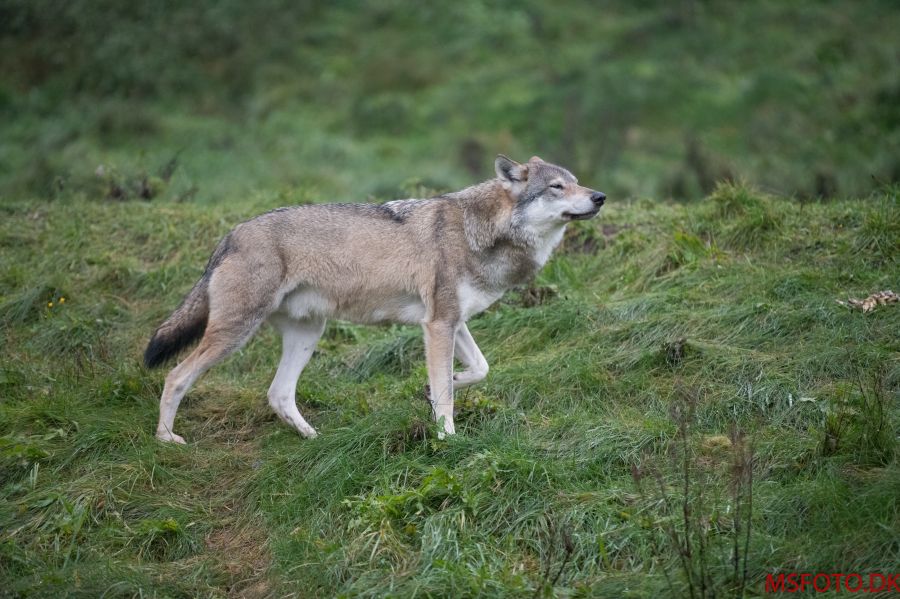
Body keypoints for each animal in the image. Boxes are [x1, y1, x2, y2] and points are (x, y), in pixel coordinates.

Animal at [144, 157, 604, 442]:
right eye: (557, 187)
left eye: (577, 181)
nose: (599, 197)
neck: (484, 233)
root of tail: (230, 235)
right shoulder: (438, 324)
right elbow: (448, 396)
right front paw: (447, 438)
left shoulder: (450, 323)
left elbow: (478, 370)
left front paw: (435, 388)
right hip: (234, 335)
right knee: (175, 376)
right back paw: (166, 438)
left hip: (308, 333)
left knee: (278, 393)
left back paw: (314, 438)